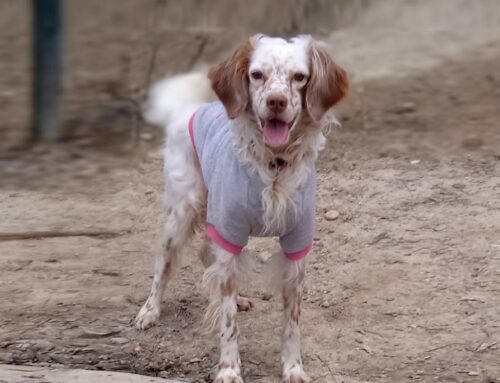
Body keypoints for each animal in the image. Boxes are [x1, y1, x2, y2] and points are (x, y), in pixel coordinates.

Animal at [135, 34, 350, 382]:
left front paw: (293, 367)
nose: (276, 101)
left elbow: (292, 322)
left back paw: (238, 298)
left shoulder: (296, 246)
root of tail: (190, 109)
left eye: (299, 77)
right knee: (163, 265)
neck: (274, 165)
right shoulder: (229, 231)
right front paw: (228, 369)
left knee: (207, 256)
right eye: (257, 75)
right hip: (183, 212)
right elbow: (228, 323)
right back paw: (150, 310)